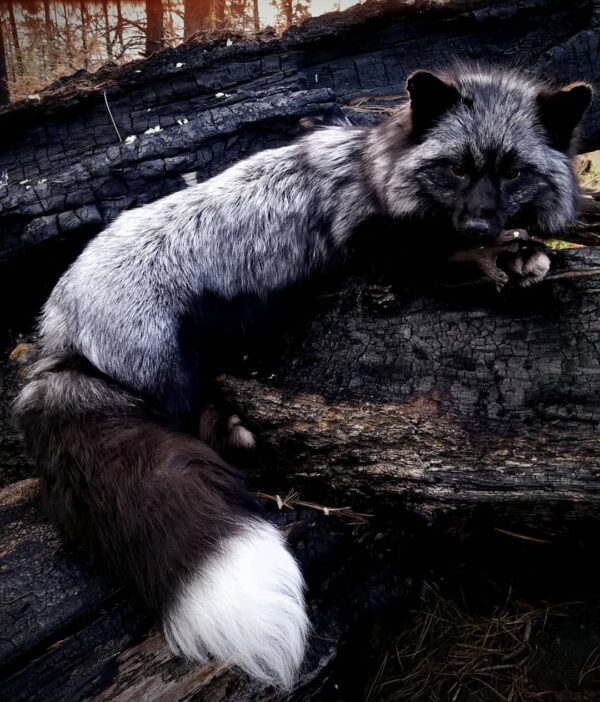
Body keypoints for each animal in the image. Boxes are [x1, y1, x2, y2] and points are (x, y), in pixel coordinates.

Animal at [14, 65, 591, 688]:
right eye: (456, 168)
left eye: (514, 172)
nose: (482, 221)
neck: (376, 168)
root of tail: (57, 331)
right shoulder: (383, 253)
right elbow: (446, 257)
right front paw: (505, 257)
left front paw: (516, 249)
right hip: (171, 369)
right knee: (187, 424)